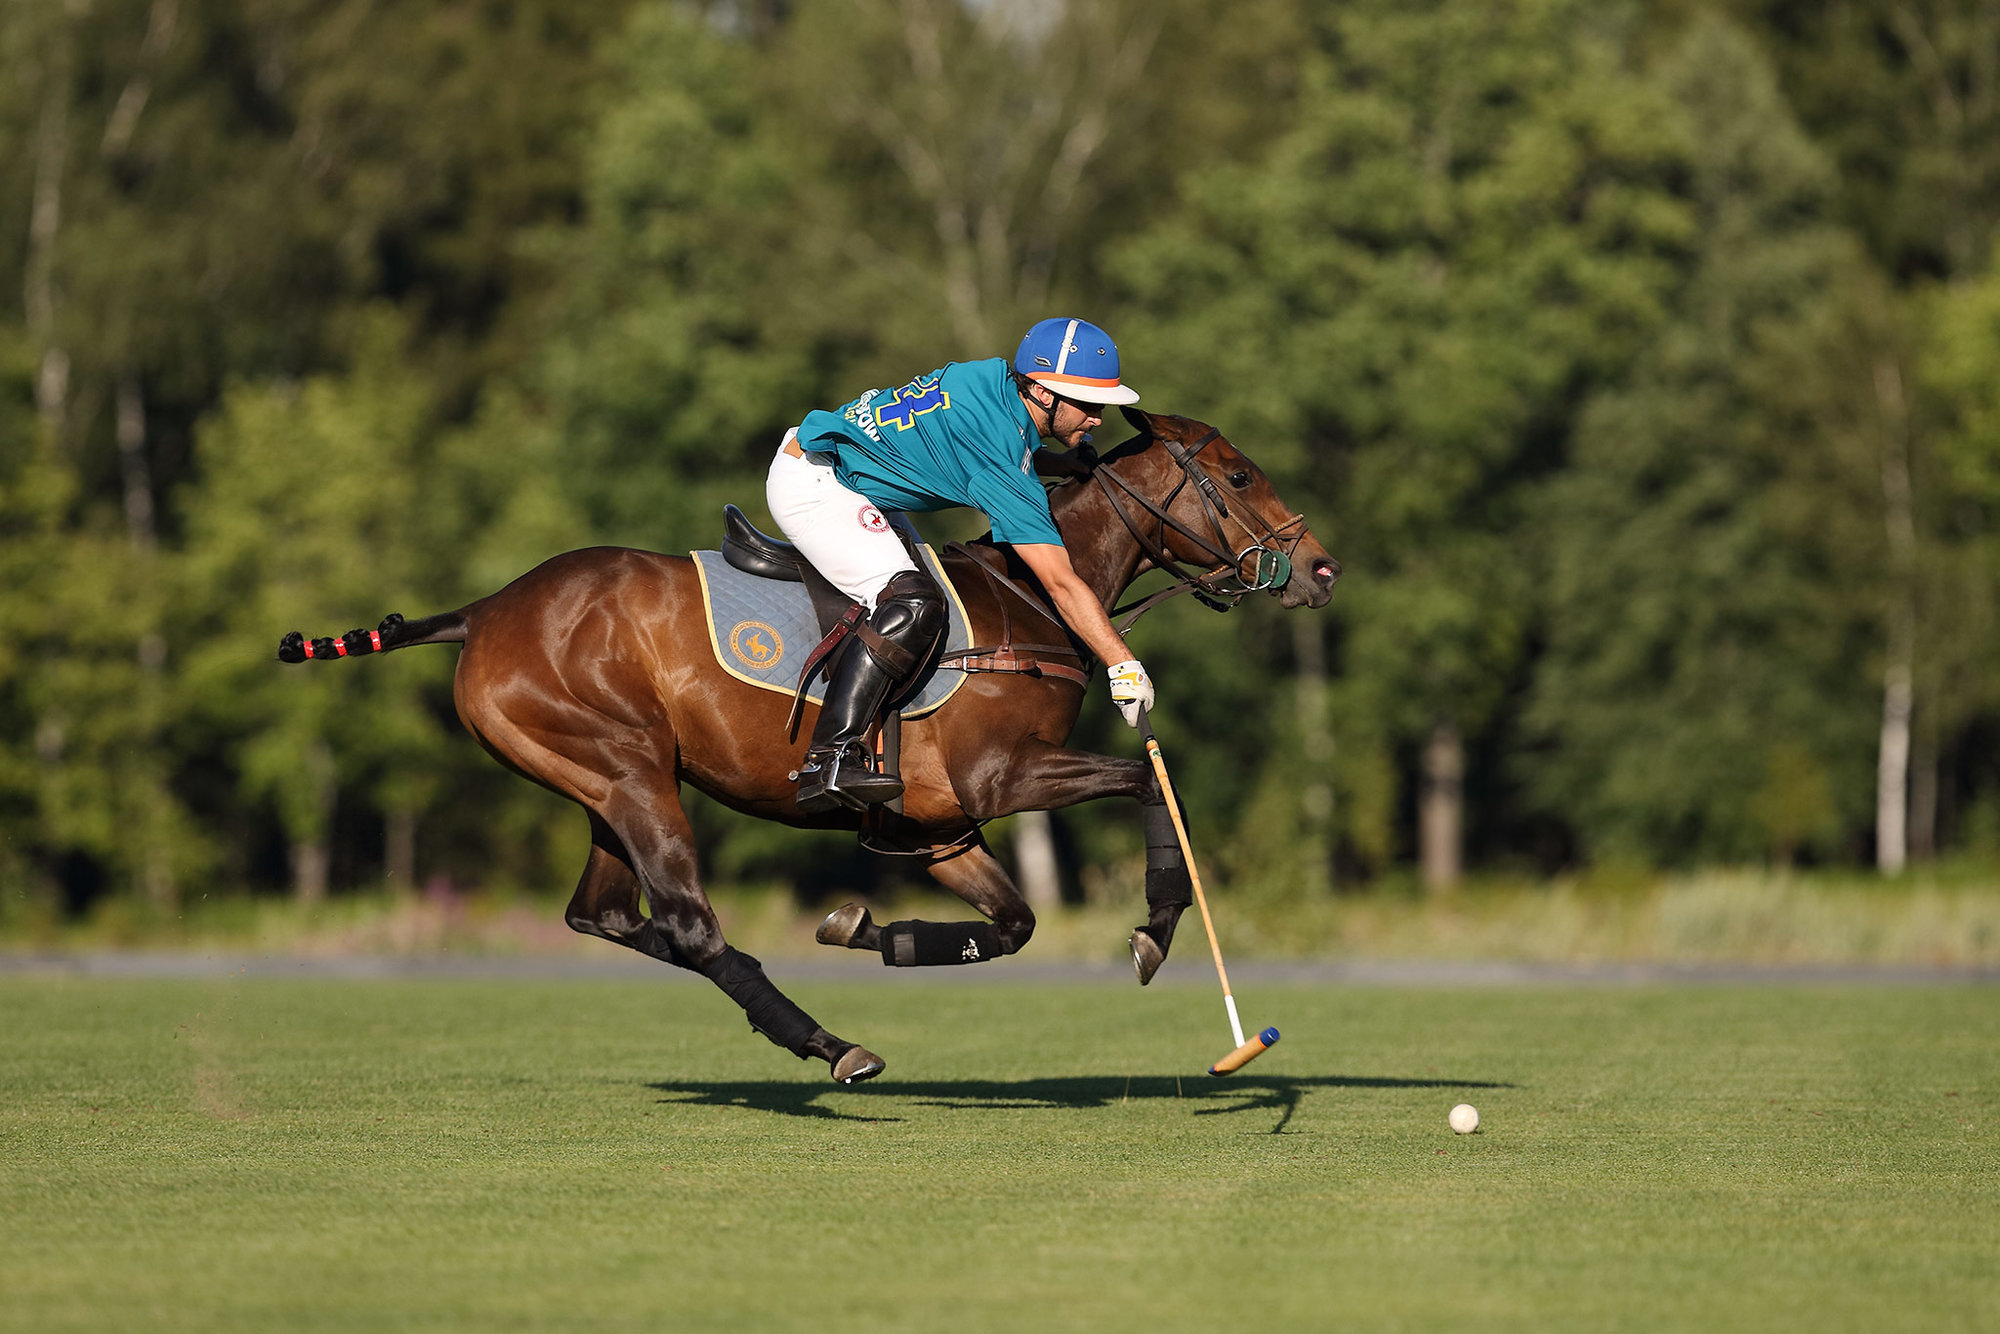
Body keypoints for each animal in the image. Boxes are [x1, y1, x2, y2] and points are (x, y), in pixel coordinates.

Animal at [278, 410, 1344, 1088]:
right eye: (1239, 476)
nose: (1323, 570)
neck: (1032, 598)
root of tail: (486, 610)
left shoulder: (937, 827)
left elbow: (1012, 925)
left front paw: (872, 930)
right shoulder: (1000, 780)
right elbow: (1149, 784)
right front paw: (1154, 929)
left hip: (603, 785)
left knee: (606, 916)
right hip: (627, 772)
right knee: (689, 925)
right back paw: (833, 1046)